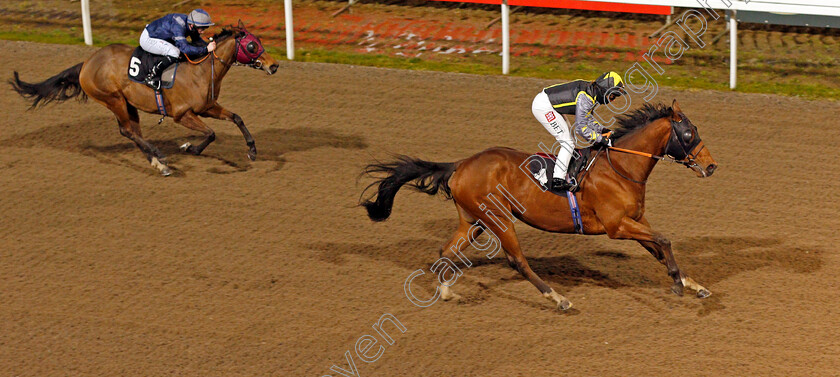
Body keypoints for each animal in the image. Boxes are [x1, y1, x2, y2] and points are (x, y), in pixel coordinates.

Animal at [9, 24, 278, 175]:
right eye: (252, 45)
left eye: (259, 42)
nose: (274, 65)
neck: (201, 70)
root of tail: (86, 63)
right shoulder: (183, 114)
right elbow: (211, 133)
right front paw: (189, 147)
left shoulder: (208, 107)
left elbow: (237, 118)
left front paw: (252, 151)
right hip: (113, 99)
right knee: (127, 131)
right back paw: (159, 156)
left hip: (129, 104)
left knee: (133, 131)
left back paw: (159, 163)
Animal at [360, 100, 716, 308]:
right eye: (688, 133)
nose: (711, 166)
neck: (621, 167)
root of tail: (460, 165)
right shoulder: (617, 226)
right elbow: (664, 241)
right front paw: (679, 286)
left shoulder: (636, 220)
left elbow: (659, 247)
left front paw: (693, 284)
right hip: (500, 220)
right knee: (516, 260)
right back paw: (556, 297)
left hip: (474, 221)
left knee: (446, 251)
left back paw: (447, 291)